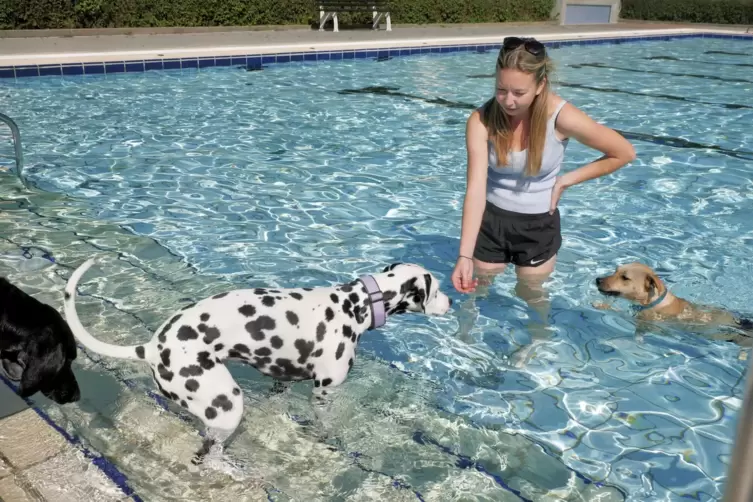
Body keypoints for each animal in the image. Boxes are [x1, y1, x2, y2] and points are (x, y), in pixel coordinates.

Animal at [61, 258, 450, 462]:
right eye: (438, 289)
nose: (450, 302)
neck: (355, 305)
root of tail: (152, 346)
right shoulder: (324, 393)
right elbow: (326, 426)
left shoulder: (282, 380)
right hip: (227, 404)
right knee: (206, 452)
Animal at [592, 262, 752, 350]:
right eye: (616, 270)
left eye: (625, 277)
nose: (597, 279)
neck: (654, 301)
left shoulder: (646, 321)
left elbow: (619, 312)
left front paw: (601, 305)